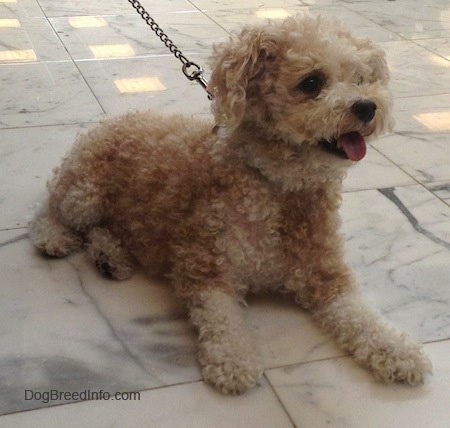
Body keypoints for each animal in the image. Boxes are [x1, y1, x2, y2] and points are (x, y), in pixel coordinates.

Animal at [29, 15, 432, 392]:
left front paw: (398, 350)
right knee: (50, 211)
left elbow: (359, 313)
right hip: (83, 193)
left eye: (362, 79)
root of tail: (108, 121)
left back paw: (109, 256)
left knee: (100, 230)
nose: (367, 107)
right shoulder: (203, 264)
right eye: (312, 82)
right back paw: (56, 238)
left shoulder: (327, 272)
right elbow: (222, 317)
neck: (278, 187)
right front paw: (234, 360)